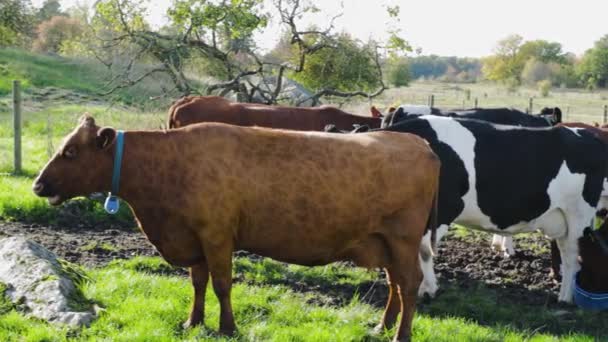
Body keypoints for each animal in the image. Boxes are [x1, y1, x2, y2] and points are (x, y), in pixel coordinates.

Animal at [33, 115, 440, 342]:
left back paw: (401, 336)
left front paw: (227, 327)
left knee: (409, 285)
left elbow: (222, 284)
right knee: (395, 285)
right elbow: (197, 283)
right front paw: (193, 322)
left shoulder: (216, 235)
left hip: (403, 238)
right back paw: (382, 328)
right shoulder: (192, 237)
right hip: (385, 242)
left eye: (70, 152)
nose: (38, 184)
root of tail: (415, 141)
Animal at [378, 115, 604, 302]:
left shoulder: (444, 208)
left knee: (573, 259)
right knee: (568, 257)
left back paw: (566, 300)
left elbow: (423, 249)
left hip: (578, 217)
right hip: (564, 221)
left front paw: (426, 289)